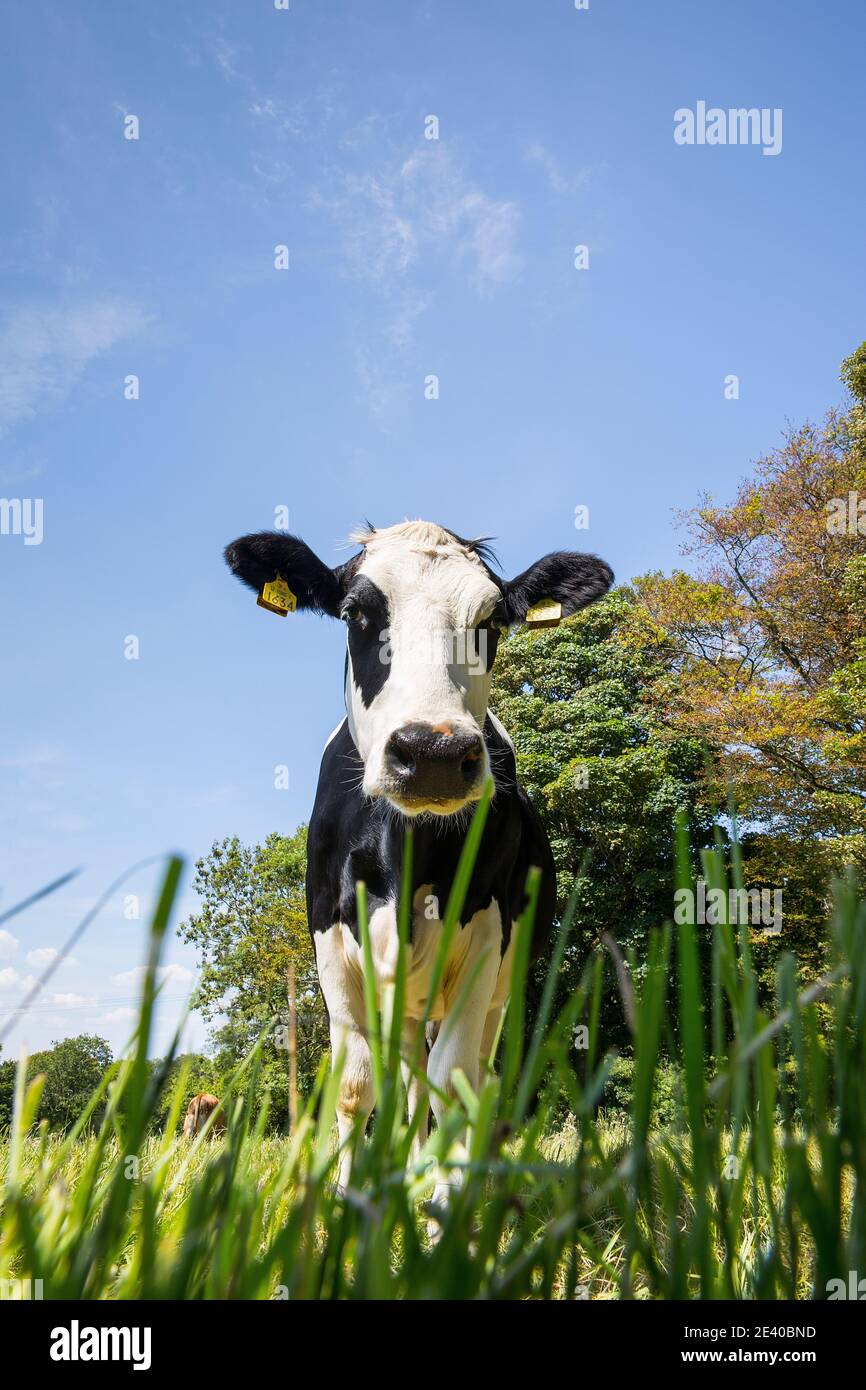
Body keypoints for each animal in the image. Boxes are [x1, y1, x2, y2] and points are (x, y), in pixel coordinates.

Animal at [224, 520, 613, 1198]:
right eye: (354, 613)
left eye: (490, 620)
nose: (432, 752)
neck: (403, 858)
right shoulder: (332, 947)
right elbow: (356, 1087)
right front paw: (349, 1200)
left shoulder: (484, 944)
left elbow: (454, 1087)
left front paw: (445, 1213)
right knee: (408, 1078)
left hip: (500, 988)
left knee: (474, 1076)